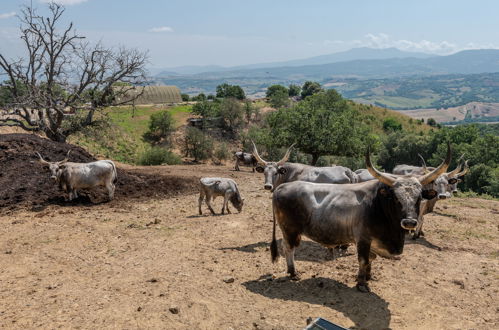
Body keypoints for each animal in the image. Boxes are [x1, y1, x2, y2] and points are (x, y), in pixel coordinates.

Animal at [272, 142, 456, 292]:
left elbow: (371, 260)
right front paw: (361, 283)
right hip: (289, 230)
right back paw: (293, 272)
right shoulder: (363, 240)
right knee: (288, 248)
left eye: (419, 198)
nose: (410, 222)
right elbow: (363, 260)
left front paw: (368, 276)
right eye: (396, 198)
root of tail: (282, 187)